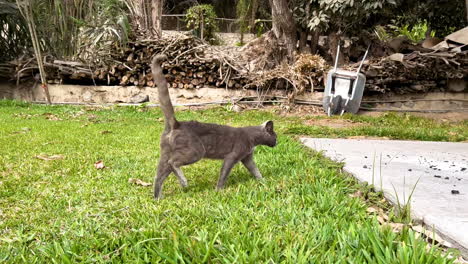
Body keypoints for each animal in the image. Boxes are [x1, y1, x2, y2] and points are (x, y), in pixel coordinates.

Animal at [152, 54, 276, 199]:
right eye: (275, 136)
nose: (277, 142)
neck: (252, 137)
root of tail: (176, 124)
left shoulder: (247, 158)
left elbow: (255, 169)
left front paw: (262, 181)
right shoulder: (232, 156)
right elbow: (224, 173)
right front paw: (219, 190)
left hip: (166, 153)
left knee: (159, 175)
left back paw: (158, 197)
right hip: (196, 151)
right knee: (173, 163)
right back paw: (184, 182)